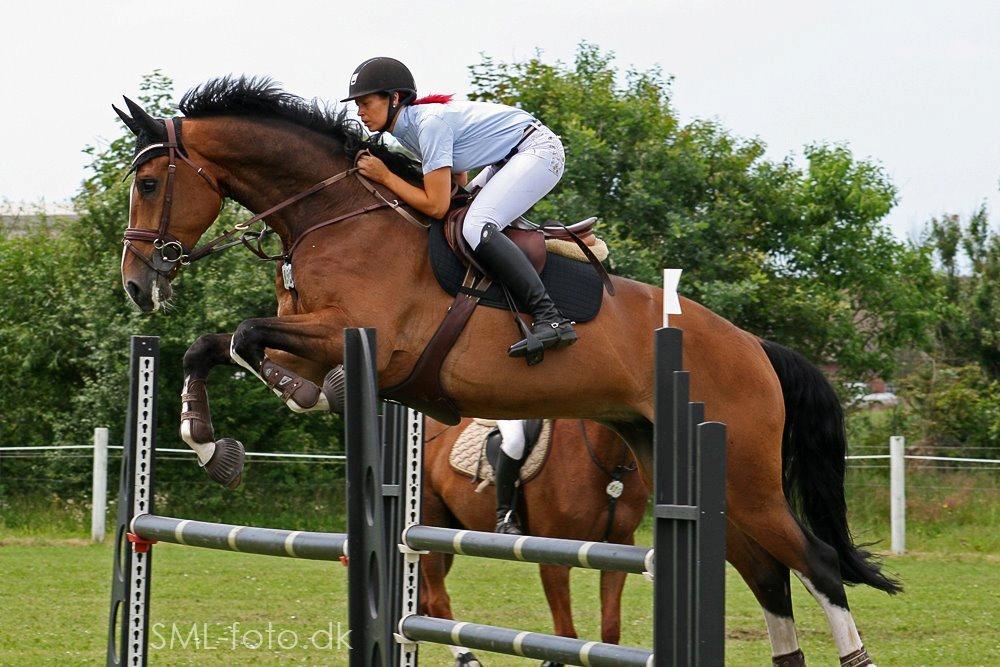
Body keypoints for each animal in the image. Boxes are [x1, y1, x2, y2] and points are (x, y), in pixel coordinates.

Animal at [418, 420, 644, 664]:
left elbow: (610, 632)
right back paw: (467, 658)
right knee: (437, 601)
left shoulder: (616, 551)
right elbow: (565, 636)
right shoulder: (554, 559)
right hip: (430, 527)